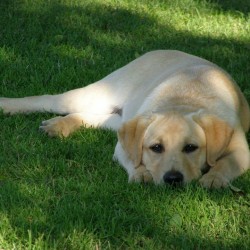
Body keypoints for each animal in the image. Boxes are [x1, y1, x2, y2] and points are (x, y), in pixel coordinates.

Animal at [0, 50, 250, 188]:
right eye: (156, 148)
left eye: (191, 148)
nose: (173, 179)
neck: (183, 102)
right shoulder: (123, 146)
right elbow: (134, 159)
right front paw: (141, 174)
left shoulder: (241, 149)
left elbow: (226, 162)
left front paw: (214, 178)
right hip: (97, 95)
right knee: (47, 99)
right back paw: (9, 106)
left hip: (119, 119)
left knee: (91, 117)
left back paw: (59, 126)